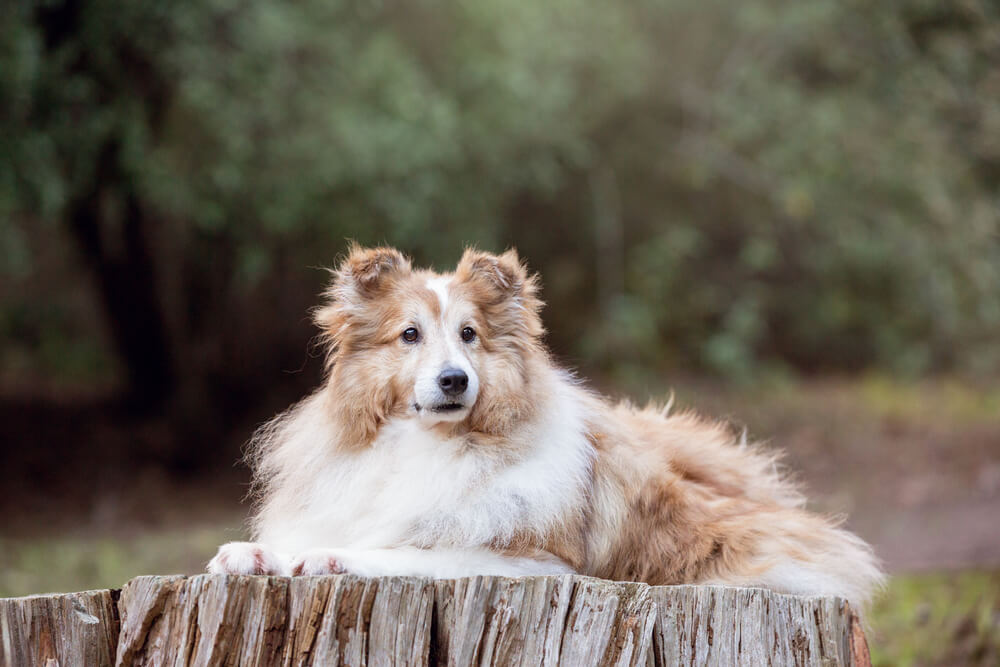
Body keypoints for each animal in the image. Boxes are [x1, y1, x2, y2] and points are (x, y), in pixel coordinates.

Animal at [209, 245, 884, 612]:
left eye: (469, 335)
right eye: (409, 335)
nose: (454, 380)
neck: (425, 445)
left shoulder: (531, 562)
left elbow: (405, 549)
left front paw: (330, 557)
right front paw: (253, 553)